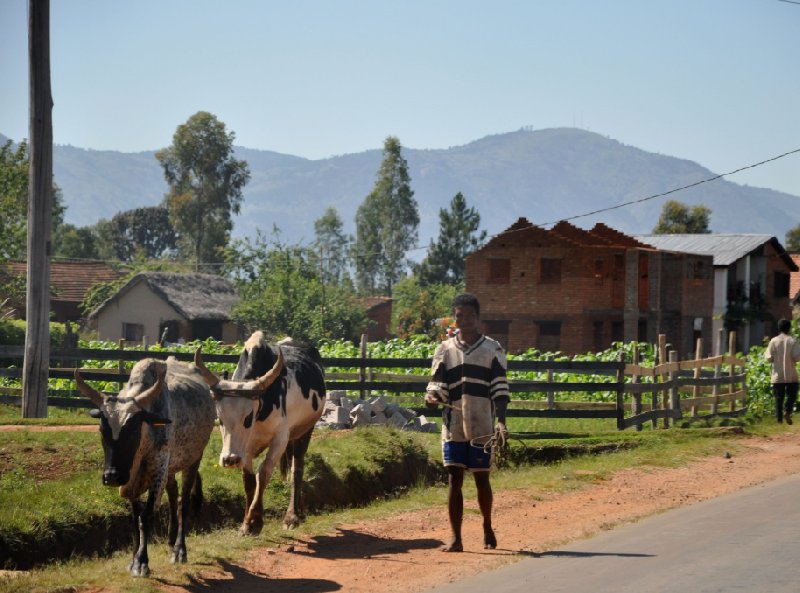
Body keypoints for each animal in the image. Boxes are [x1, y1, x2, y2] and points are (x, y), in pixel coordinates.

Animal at [73, 356, 212, 572]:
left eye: (132, 430)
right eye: (102, 430)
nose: (111, 476)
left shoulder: (158, 466)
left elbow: (146, 515)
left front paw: (141, 561)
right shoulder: (132, 479)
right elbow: (135, 517)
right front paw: (133, 557)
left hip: (193, 459)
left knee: (184, 502)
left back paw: (179, 549)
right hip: (171, 467)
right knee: (173, 494)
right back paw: (171, 539)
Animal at [195, 332, 324, 532]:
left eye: (248, 417)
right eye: (220, 419)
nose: (229, 460)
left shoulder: (280, 439)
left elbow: (263, 473)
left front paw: (255, 519)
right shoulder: (245, 447)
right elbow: (248, 480)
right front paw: (246, 523)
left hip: (305, 431)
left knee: (297, 469)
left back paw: (293, 515)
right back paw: (300, 511)